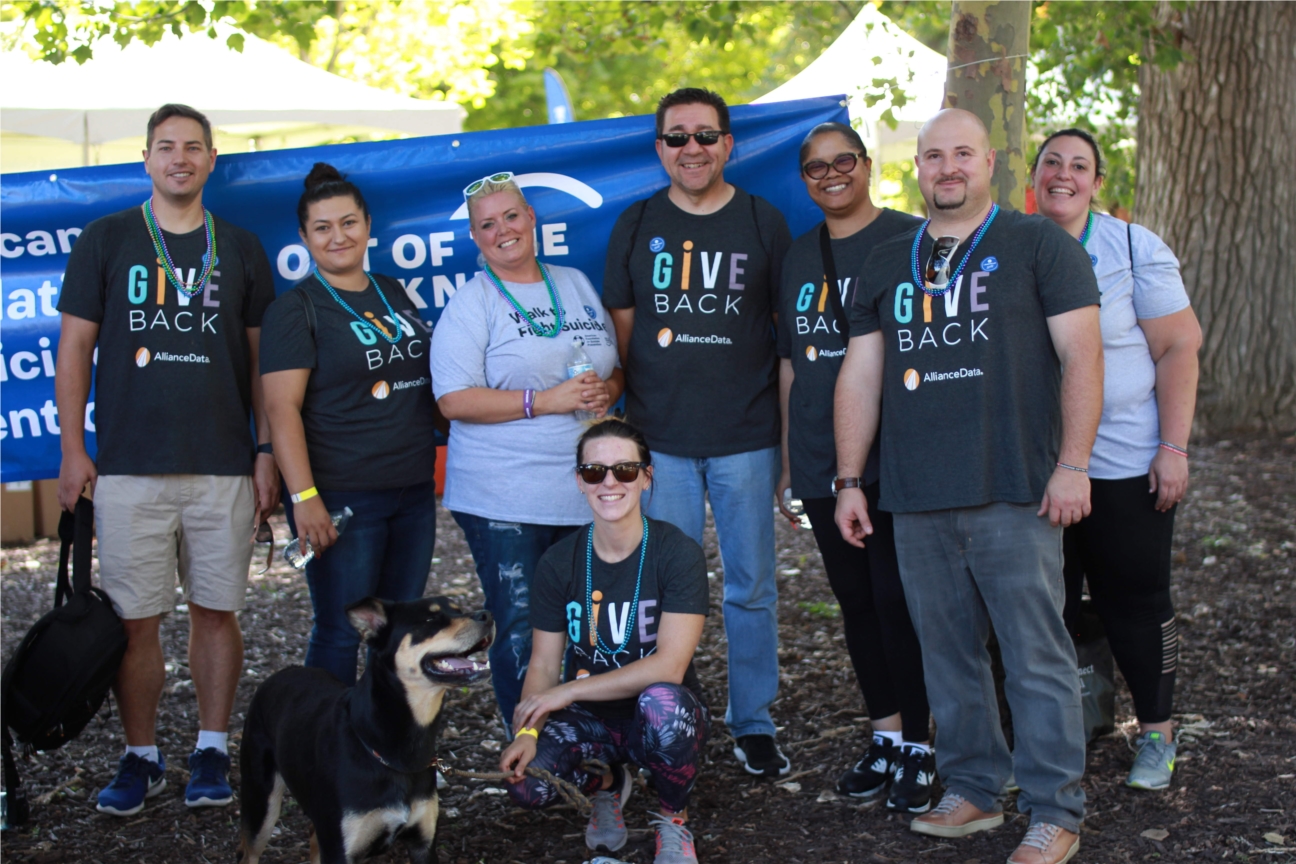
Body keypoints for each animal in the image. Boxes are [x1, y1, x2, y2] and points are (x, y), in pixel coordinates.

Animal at [237, 598, 489, 864]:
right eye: (430, 619)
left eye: (458, 610)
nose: (487, 615)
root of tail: (280, 673)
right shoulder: (340, 849)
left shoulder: (424, 843)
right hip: (260, 803)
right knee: (249, 852)